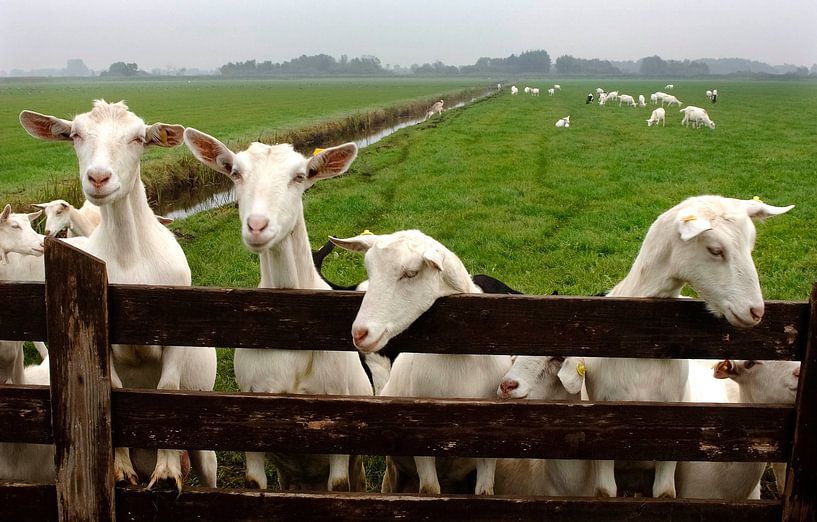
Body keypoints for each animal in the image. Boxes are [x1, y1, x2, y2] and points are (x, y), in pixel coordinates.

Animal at [21, 100, 220, 488]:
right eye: (75, 134)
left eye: (138, 138)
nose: (99, 178)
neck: (131, 258)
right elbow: (112, 388)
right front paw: (121, 469)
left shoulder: (176, 331)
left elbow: (167, 388)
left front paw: (167, 470)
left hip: (205, 449)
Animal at [183, 128, 372, 490]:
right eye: (235, 173)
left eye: (300, 176)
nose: (257, 226)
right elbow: (254, 483)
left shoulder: (338, 432)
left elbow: (339, 487)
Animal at [330, 230, 510, 494]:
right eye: (370, 272)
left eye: (411, 273)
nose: (360, 333)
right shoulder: (421, 440)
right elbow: (429, 490)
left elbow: (485, 491)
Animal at [584, 194, 792, 496]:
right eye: (715, 250)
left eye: (751, 245)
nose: (755, 311)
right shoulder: (601, 432)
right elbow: (604, 491)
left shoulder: (674, 433)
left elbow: (665, 492)